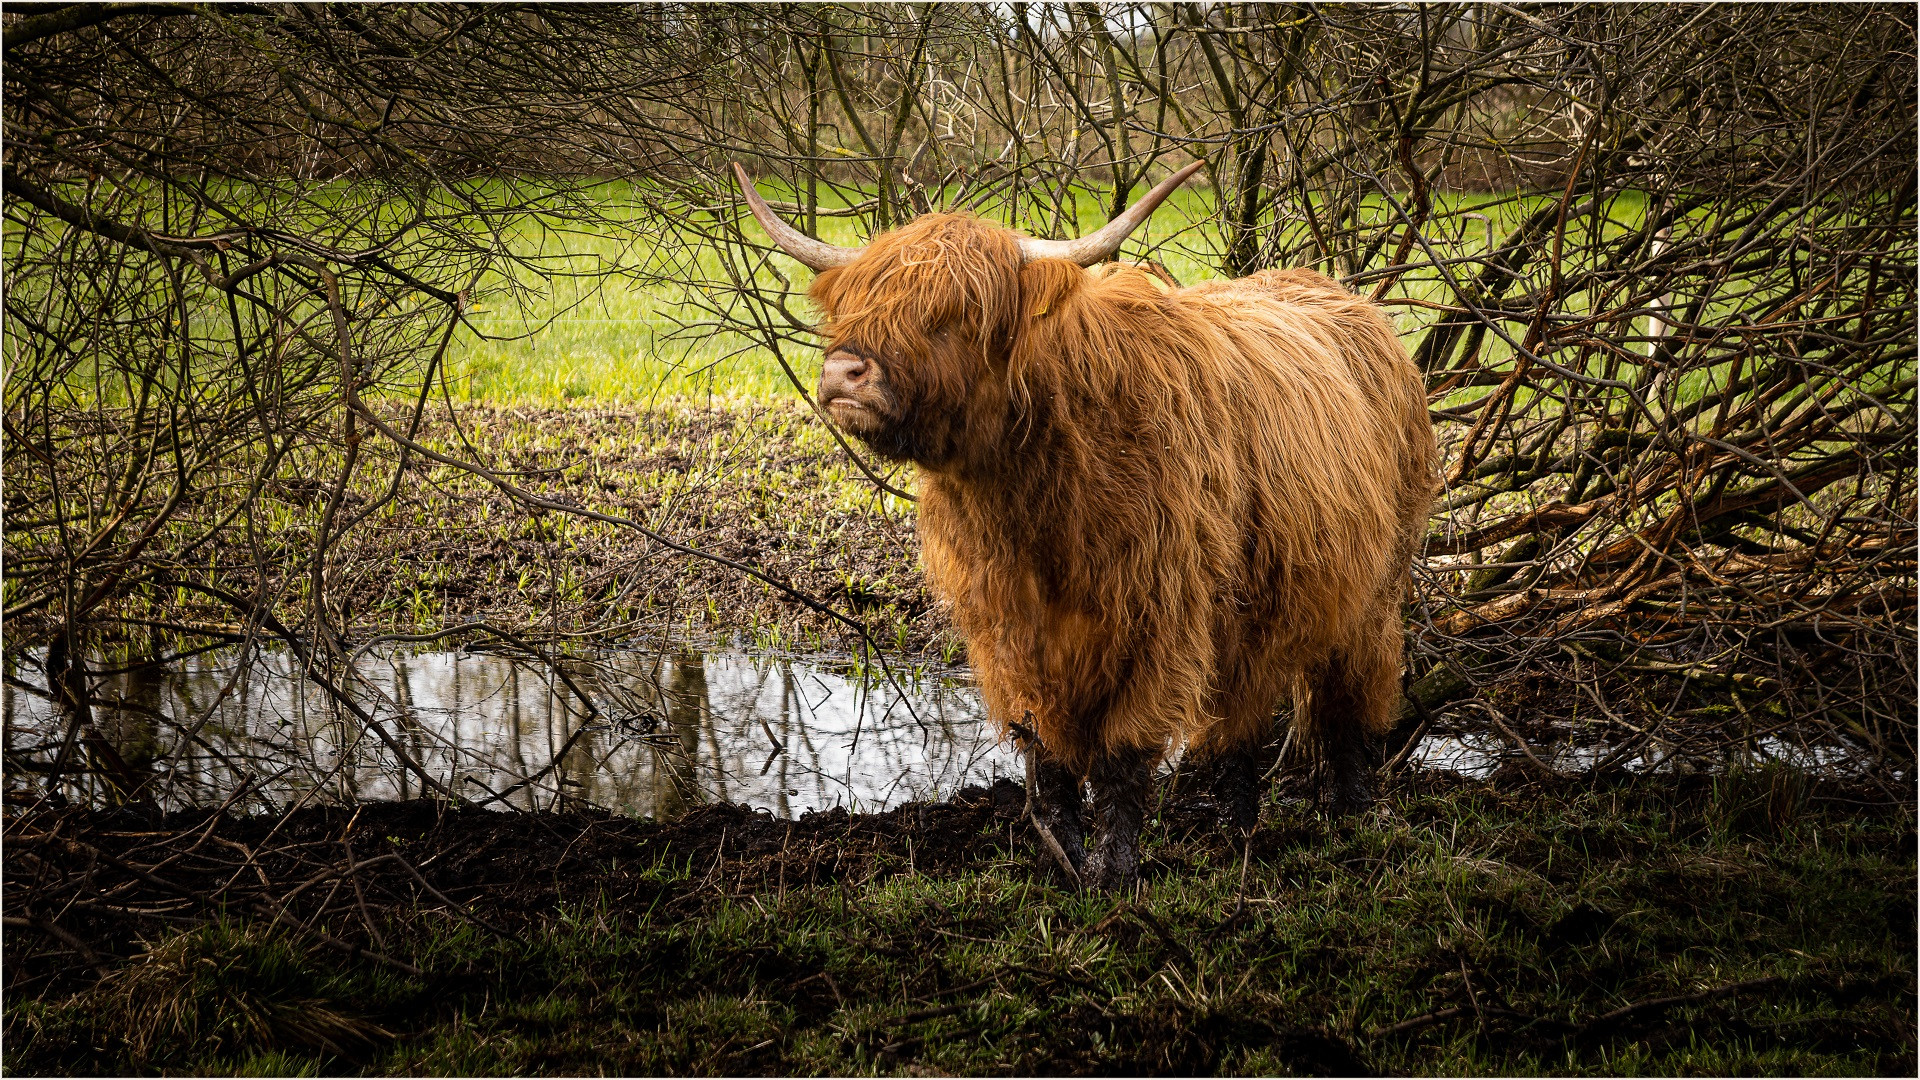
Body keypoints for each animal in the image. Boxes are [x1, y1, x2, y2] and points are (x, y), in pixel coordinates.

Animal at [741, 159, 1436, 883]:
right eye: (857, 302)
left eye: (956, 313)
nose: (844, 371)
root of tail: (1346, 299)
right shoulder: (1008, 628)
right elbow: (1046, 754)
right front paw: (1065, 859)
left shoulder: (1159, 618)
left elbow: (1122, 756)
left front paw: (1114, 873)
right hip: (1260, 600)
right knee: (1243, 710)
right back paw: (1238, 829)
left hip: (1376, 587)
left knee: (1351, 695)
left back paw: (1349, 815)